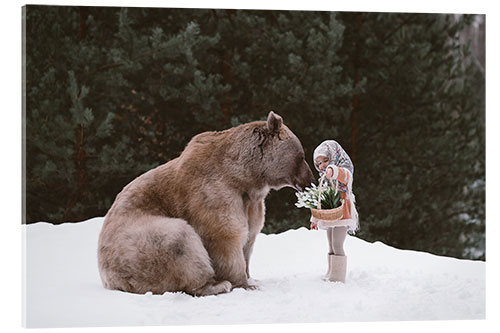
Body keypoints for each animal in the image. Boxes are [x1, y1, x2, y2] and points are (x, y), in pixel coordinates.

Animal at [97, 111, 312, 296]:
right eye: (301, 156)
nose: (309, 179)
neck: (245, 178)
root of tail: (107, 280)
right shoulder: (214, 192)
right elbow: (225, 235)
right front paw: (243, 283)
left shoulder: (252, 204)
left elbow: (250, 236)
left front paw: (252, 278)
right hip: (136, 243)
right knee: (179, 241)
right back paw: (215, 285)